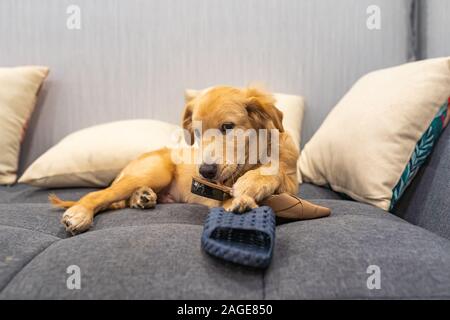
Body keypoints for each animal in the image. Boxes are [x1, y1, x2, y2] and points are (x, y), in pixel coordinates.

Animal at [50, 86, 298, 234]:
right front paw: (244, 193)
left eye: (228, 126)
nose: (205, 172)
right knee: (100, 195)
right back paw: (81, 213)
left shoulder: (291, 183)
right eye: (196, 133)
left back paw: (142, 197)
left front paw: (253, 182)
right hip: (153, 173)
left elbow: (276, 172)